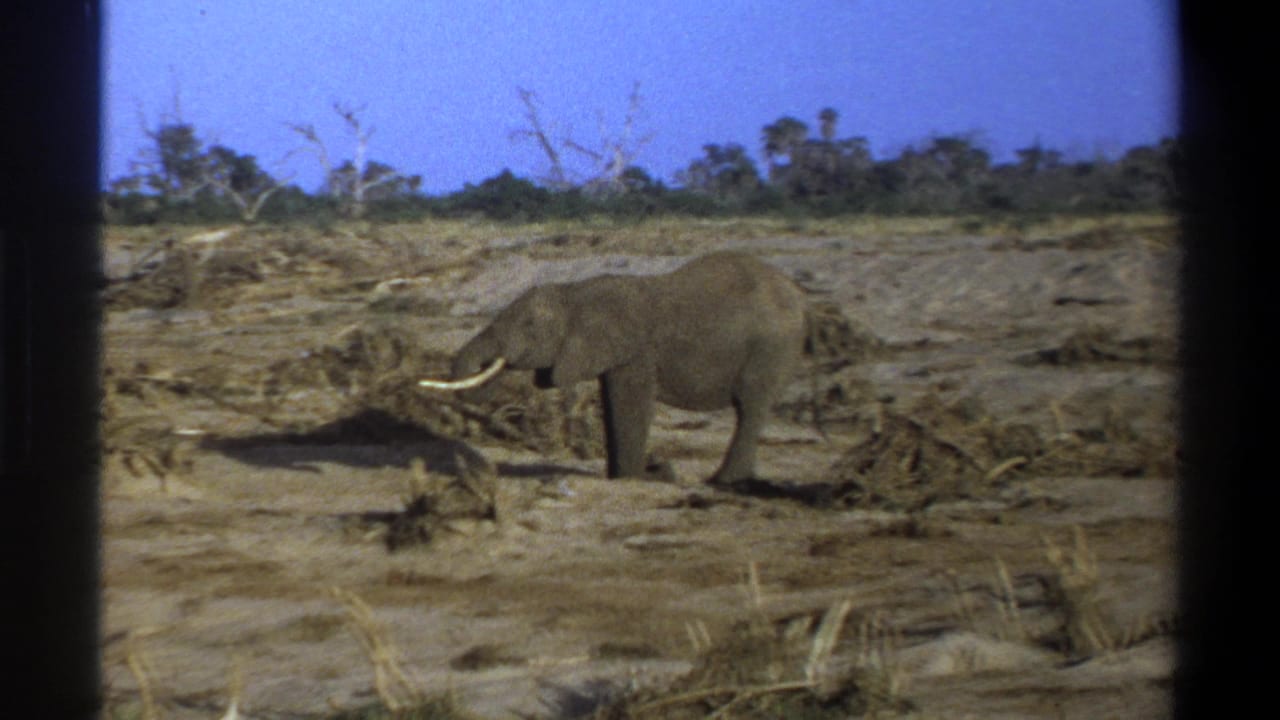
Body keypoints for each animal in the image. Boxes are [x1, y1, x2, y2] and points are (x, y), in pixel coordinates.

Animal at [420, 251, 806, 484]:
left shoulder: (635, 352)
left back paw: (722, 482)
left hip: (772, 348)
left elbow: (629, 405)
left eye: (529, 326)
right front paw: (632, 476)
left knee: (751, 407)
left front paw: (637, 479)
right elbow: (611, 405)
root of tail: (799, 295)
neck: (576, 293)